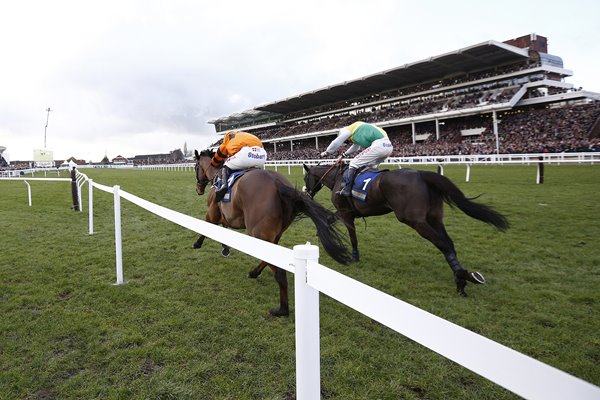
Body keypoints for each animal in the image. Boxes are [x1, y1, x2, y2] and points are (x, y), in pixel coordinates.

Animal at [192, 150, 352, 316]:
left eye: (195, 166)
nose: (198, 189)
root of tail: (277, 183)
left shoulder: (212, 214)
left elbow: (207, 226)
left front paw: (197, 243)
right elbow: (223, 229)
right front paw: (225, 248)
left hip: (257, 233)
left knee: (279, 271)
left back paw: (282, 309)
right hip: (273, 235)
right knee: (270, 259)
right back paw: (254, 273)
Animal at [302, 161, 508, 296]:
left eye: (305, 177)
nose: (307, 192)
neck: (338, 178)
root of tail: (421, 173)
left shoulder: (346, 213)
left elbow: (352, 236)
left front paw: (353, 256)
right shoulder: (345, 211)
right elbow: (329, 220)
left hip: (415, 220)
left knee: (443, 244)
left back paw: (461, 279)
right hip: (434, 218)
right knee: (449, 243)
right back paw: (464, 277)